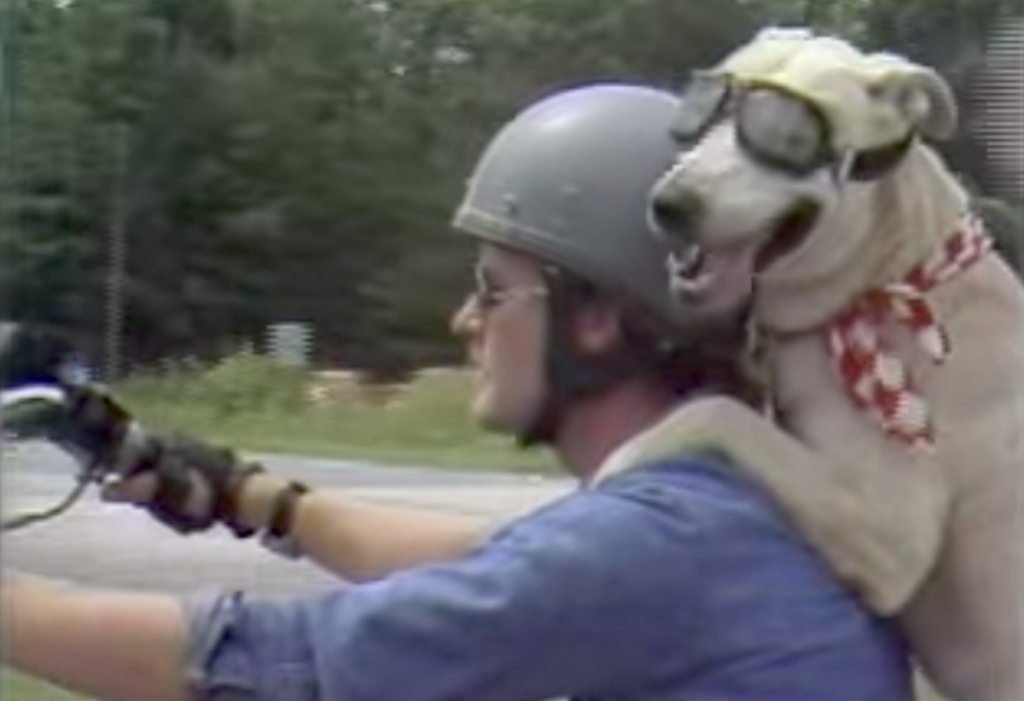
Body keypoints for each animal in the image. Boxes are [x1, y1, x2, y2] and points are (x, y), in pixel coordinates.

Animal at [593, 27, 1024, 699]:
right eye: (702, 112)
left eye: (788, 136)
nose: (668, 203)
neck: (891, 275)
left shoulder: (890, 532)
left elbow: (718, 412)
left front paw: (622, 457)